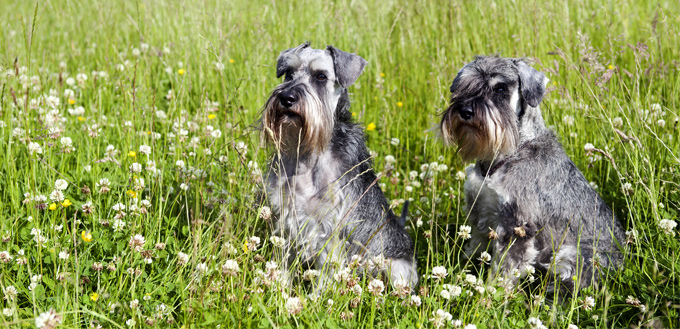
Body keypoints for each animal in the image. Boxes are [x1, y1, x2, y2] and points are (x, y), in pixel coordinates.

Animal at [262, 43, 418, 290]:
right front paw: (281, 288)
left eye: (320, 76)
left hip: (396, 268)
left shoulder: (329, 229)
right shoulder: (287, 217)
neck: (309, 155)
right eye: (288, 73)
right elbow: (285, 260)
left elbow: (326, 272)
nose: (286, 97)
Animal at [440, 55, 628, 290]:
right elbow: (474, 249)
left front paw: (491, 294)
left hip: (572, 254)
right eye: (465, 84)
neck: (504, 157)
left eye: (500, 89)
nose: (465, 111)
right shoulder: (480, 215)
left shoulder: (517, 227)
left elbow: (504, 269)